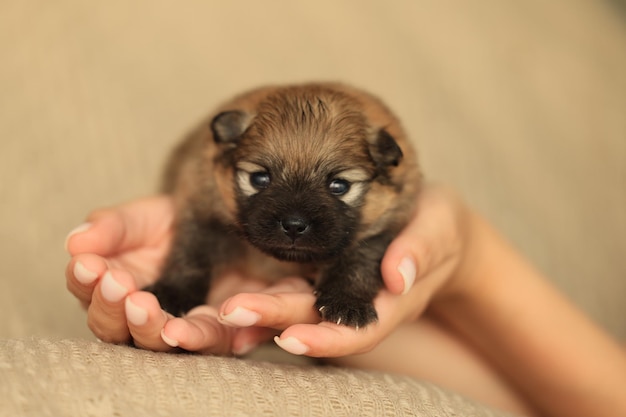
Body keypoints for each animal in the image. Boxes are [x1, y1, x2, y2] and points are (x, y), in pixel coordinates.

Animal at [145, 82, 420, 328]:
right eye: (259, 179)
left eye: (339, 186)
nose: (294, 225)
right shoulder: (202, 211)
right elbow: (191, 255)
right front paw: (173, 292)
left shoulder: (382, 228)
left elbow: (358, 262)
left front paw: (347, 302)